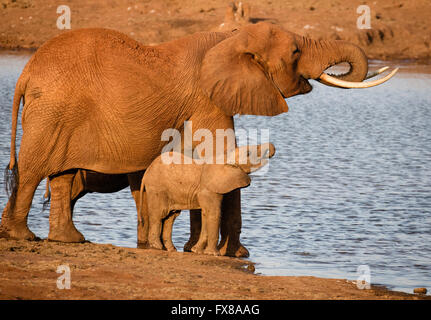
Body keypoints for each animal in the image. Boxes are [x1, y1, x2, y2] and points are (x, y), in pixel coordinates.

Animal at [142, 142, 276, 255]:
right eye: (248, 153)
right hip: (157, 188)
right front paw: (214, 254)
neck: (225, 157)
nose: (272, 146)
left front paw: (197, 251)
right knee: (158, 215)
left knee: (171, 217)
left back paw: (170, 249)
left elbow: (206, 214)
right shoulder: (209, 189)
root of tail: (147, 172)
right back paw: (157, 247)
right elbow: (214, 213)